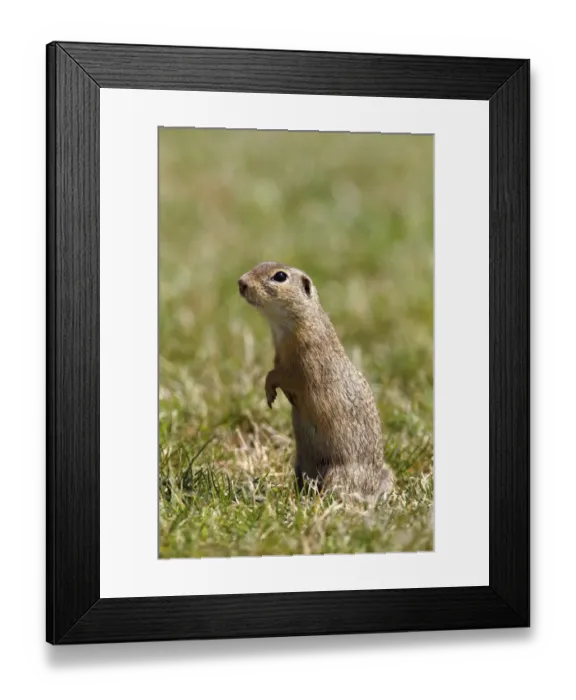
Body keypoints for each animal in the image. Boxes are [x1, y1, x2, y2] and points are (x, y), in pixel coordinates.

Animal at [238, 261, 393, 500]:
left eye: (280, 276)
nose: (241, 282)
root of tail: (373, 487)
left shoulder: (304, 360)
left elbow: (280, 374)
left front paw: (270, 391)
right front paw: (271, 394)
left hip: (338, 473)